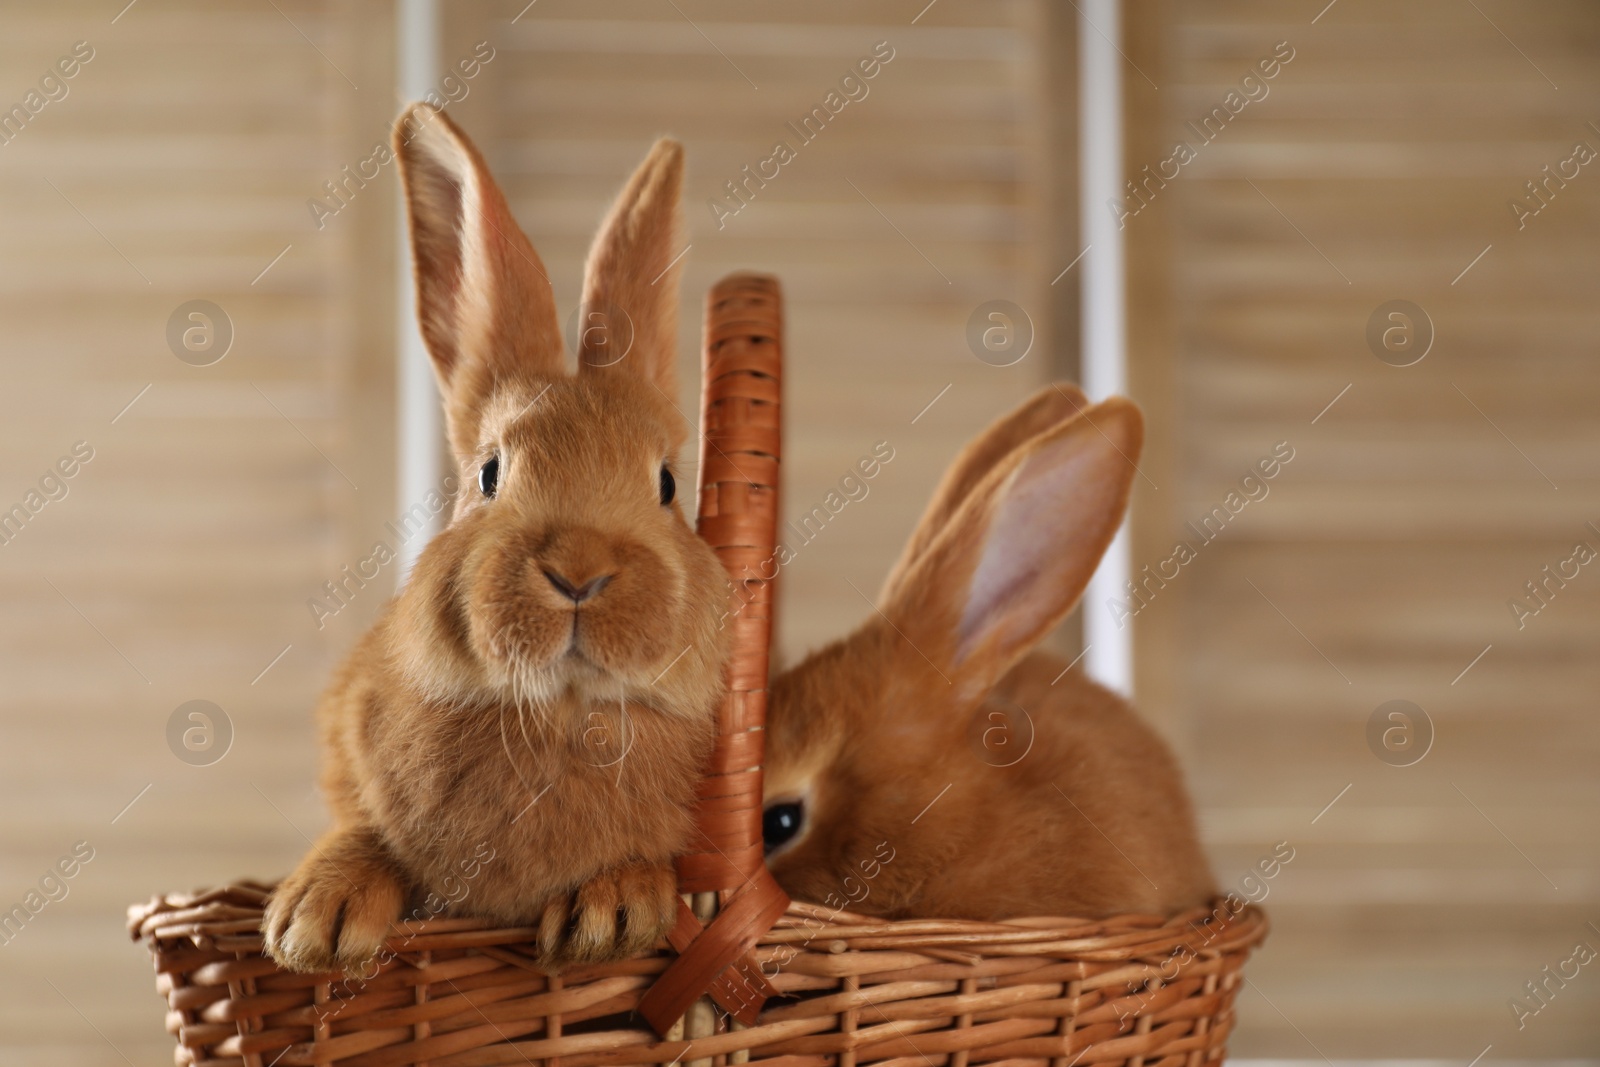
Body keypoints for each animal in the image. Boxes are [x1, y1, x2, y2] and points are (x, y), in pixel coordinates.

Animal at [264, 106, 732, 979]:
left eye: (665, 485)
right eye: (489, 473)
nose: (579, 570)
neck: (559, 709)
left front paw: (611, 912)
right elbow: (363, 830)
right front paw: (314, 922)